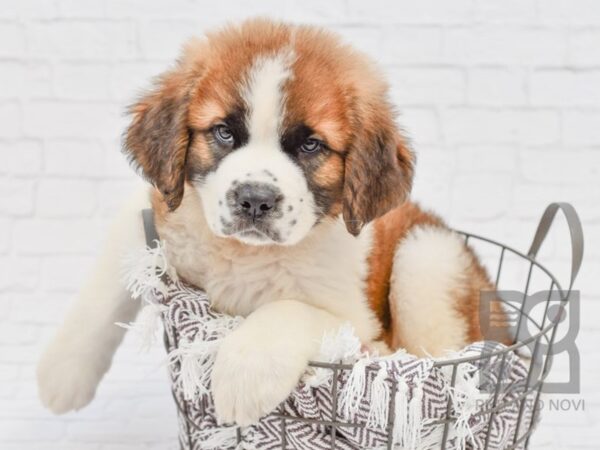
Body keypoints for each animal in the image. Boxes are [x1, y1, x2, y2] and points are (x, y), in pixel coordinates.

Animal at [36, 17, 506, 426]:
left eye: (311, 145)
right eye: (224, 133)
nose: (255, 200)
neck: (243, 254)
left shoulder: (355, 323)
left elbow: (289, 309)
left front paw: (242, 374)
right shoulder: (156, 213)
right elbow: (107, 282)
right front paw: (63, 371)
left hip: (428, 257)